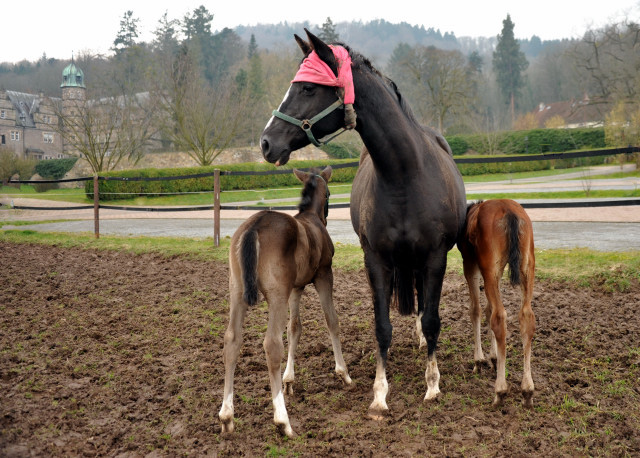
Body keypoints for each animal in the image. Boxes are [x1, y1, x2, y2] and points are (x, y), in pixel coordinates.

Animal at [258, 28, 464, 418]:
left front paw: (432, 383)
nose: (265, 143)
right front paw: (380, 392)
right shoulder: (376, 260)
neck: (404, 175)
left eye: (308, 88)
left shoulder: (435, 258)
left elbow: (432, 319)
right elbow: (381, 326)